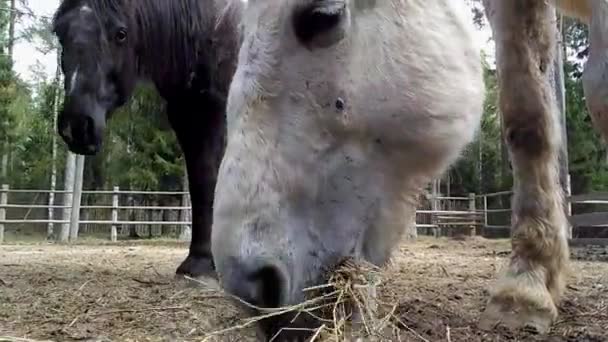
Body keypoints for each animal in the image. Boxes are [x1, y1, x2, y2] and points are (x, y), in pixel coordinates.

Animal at [50, 0, 245, 278]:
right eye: (59, 33)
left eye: (121, 33)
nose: (76, 126)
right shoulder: (188, 116)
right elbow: (200, 182)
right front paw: (198, 261)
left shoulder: (218, 112)